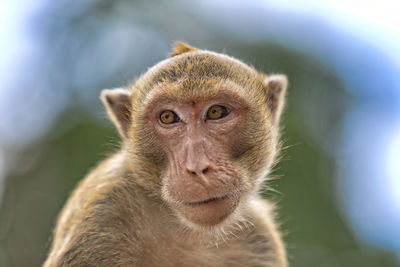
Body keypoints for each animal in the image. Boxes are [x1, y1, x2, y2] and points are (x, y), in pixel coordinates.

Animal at [43, 43, 288, 266]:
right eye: (168, 117)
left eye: (216, 112)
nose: (197, 166)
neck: (188, 231)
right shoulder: (102, 213)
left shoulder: (259, 236)